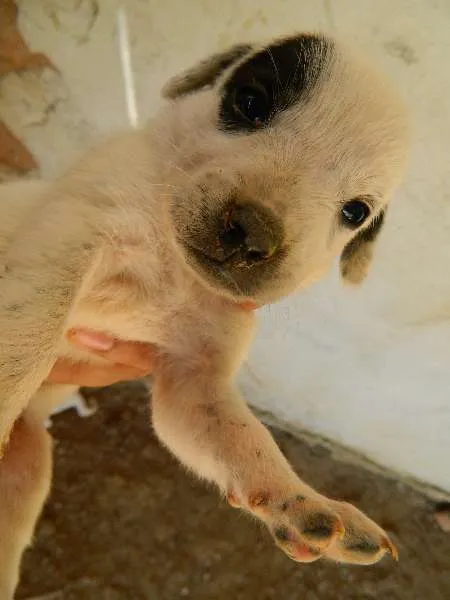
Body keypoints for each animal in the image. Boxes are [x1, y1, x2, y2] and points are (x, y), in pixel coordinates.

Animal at [0, 35, 408, 596]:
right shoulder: (70, 234)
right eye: (251, 103)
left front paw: (304, 503)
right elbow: (28, 333)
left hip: (26, 468)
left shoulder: (194, 378)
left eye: (355, 212)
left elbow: (242, 438)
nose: (252, 231)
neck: (174, 265)